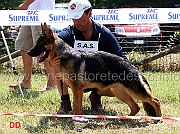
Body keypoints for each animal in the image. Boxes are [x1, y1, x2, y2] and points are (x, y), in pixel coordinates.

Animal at [27, 23, 162, 117]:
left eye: (39, 44)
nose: (28, 52)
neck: (64, 55)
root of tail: (134, 68)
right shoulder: (77, 90)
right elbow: (76, 106)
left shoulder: (77, 89)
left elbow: (77, 106)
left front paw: (76, 119)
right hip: (120, 93)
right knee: (136, 107)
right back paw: (126, 118)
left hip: (135, 92)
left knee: (155, 100)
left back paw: (159, 117)